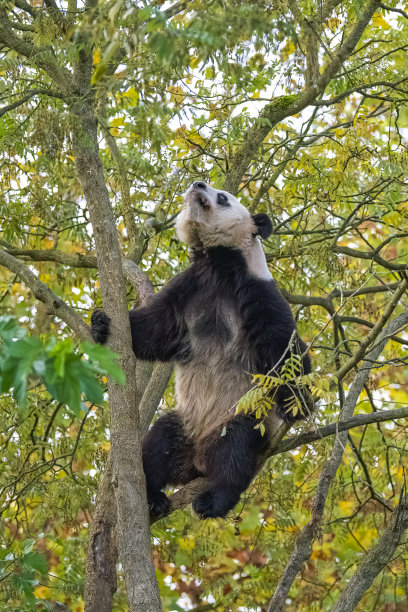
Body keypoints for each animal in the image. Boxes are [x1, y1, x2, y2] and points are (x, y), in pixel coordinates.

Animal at [91, 179, 310, 520]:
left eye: (223, 197)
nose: (198, 183)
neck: (218, 264)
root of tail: (196, 462)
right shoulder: (189, 288)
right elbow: (156, 329)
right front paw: (101, 323)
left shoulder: (258, 291)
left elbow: (286, 349)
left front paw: (298, 402)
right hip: (183, 421)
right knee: (157, 445)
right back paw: (151, 496)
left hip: (243, 414)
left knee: (236, 451)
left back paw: (213, 500)